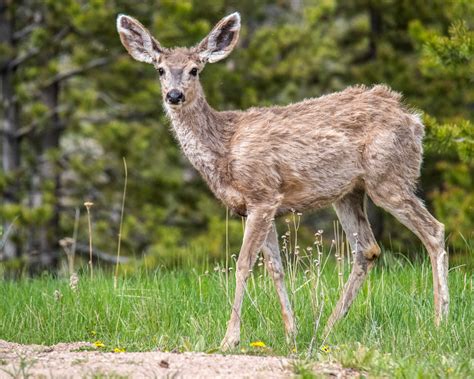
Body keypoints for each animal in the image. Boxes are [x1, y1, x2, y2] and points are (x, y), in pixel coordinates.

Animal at [116, 11, 450, 350]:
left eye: (194, 70)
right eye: (160, 69)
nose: (174, 95)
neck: (225, 147)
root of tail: (414, 120)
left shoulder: (262, 194)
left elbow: (243, 264)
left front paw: (230, 338)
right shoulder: (259, 207)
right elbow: (275, 267)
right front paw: (291, 331)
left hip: (389, 177)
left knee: (433, 230)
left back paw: (440, 320)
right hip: (350, 192)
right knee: (368, 249)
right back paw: (328, 328)